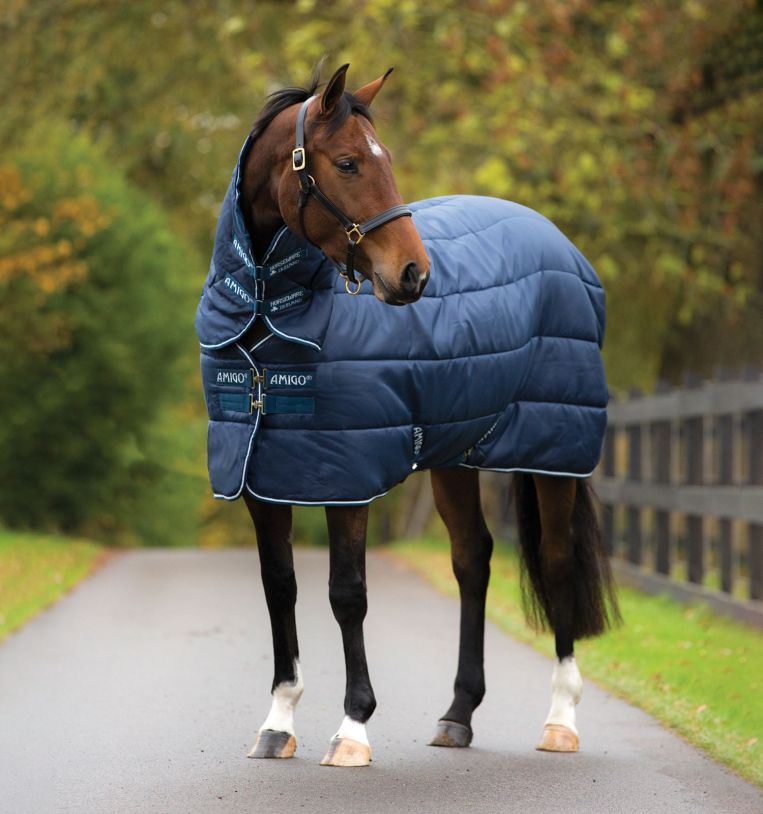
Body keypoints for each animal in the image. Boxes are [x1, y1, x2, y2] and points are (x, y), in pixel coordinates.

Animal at [195, 63, 619, 767]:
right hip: (454, 456)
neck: (271, 317)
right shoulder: (261, 474)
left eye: (385, 159)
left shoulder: (347, 478)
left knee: (557, 559)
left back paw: (561, 719)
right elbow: (279, 585)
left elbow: (347, 594)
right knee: (473, 559)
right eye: (346, 163)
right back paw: (458, 715)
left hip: (553, 452)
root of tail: (562, 245)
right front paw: (279, 721)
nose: (415, 274)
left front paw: (353, 728)